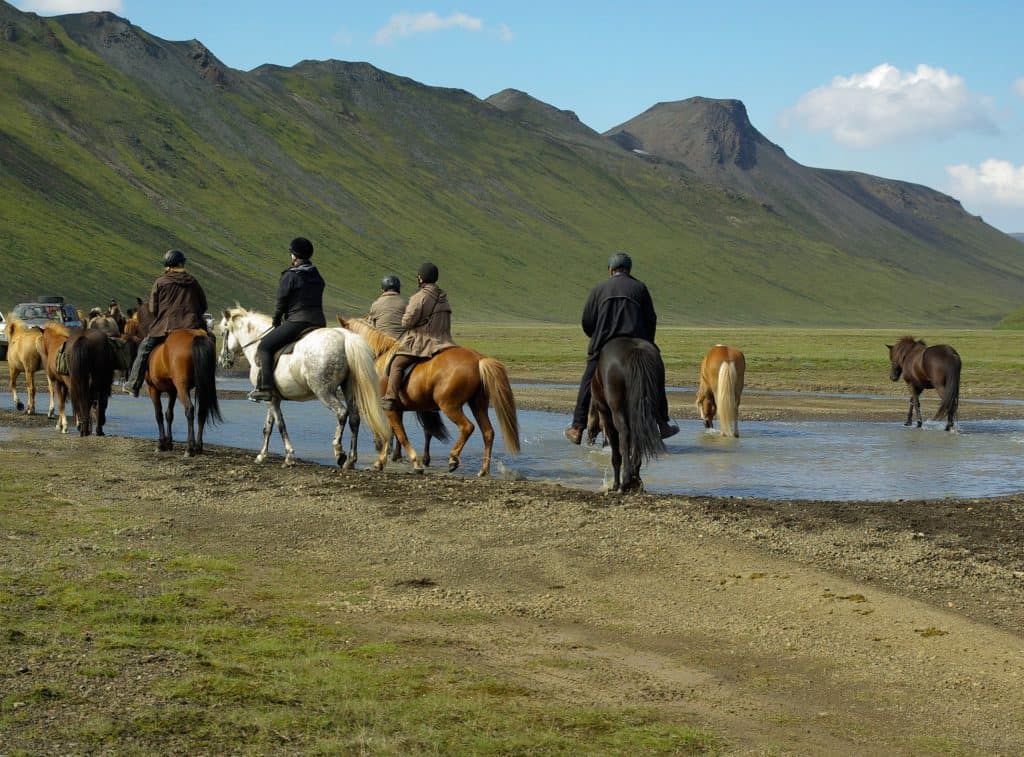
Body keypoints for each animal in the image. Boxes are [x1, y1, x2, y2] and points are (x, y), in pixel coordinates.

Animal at [218, 307, 389, 467]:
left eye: (222, 332)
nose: (221, 361)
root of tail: (345, 337)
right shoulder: (273, 398)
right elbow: (268, 427)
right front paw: (261, 455)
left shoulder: (271, 399)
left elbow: (280, 425)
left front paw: (289, 456)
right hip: (348, 389)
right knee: (354, 418)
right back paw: (351, 460)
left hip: (323, 391)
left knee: (342, 413)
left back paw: (339, 452)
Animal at [337, 317, 520, 473]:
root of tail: (478, 359)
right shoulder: (395, 410)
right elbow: (393, 434)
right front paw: (380, 463)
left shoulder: (390, 409)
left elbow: (400, 435)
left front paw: (415, 463)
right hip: (478, 405)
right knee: (488, 433)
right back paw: (483, 470)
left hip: (449, 406)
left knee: (467, 427)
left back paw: (453, 459)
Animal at [589, 335, 667, 491]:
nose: (589, 438)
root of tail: (635, 350)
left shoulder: (605, 415)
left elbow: (616, 451)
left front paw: (616, 484)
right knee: (639, 433)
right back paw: (635, 478)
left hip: (616, 409)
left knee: (624, 434)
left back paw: (625, 481)